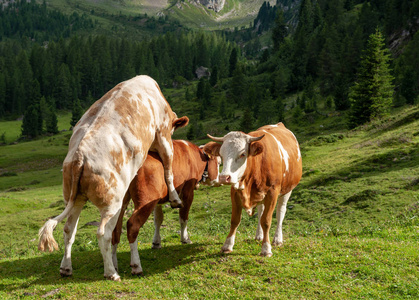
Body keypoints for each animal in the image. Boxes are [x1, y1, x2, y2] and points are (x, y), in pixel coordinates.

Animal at [37, 75, 189, 282]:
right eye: (173, 130)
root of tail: (79, 156)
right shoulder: (163, 134)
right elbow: (168, 168)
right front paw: (175, 199)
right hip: (111, 203)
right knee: (103, 233)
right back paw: (111, 272)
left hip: (75, 198)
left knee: (69, 230)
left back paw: (66, 268)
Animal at [111, 139, 223, 276]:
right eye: (219, 163)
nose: (220, 180)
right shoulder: (188, 192)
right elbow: (183, 217)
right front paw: (185, 238)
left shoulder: (158, 200)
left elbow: (158, 220)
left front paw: (156, 242)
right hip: (145, 200)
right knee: (132, 225)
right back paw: (136, 266)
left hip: (122, 202)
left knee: (115, 229)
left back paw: (114, 266)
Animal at [206, 123, 302, 256]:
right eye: (221, 154)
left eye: (242, 154)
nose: (224, 177)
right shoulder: (235, 191)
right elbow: (235, 220)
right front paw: (227, 245)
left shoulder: (273, 192)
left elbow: (266, 221)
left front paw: (266, 249)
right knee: (260, 211)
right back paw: (259, 236)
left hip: (287, 190)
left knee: (280, 212)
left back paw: (277, 239)